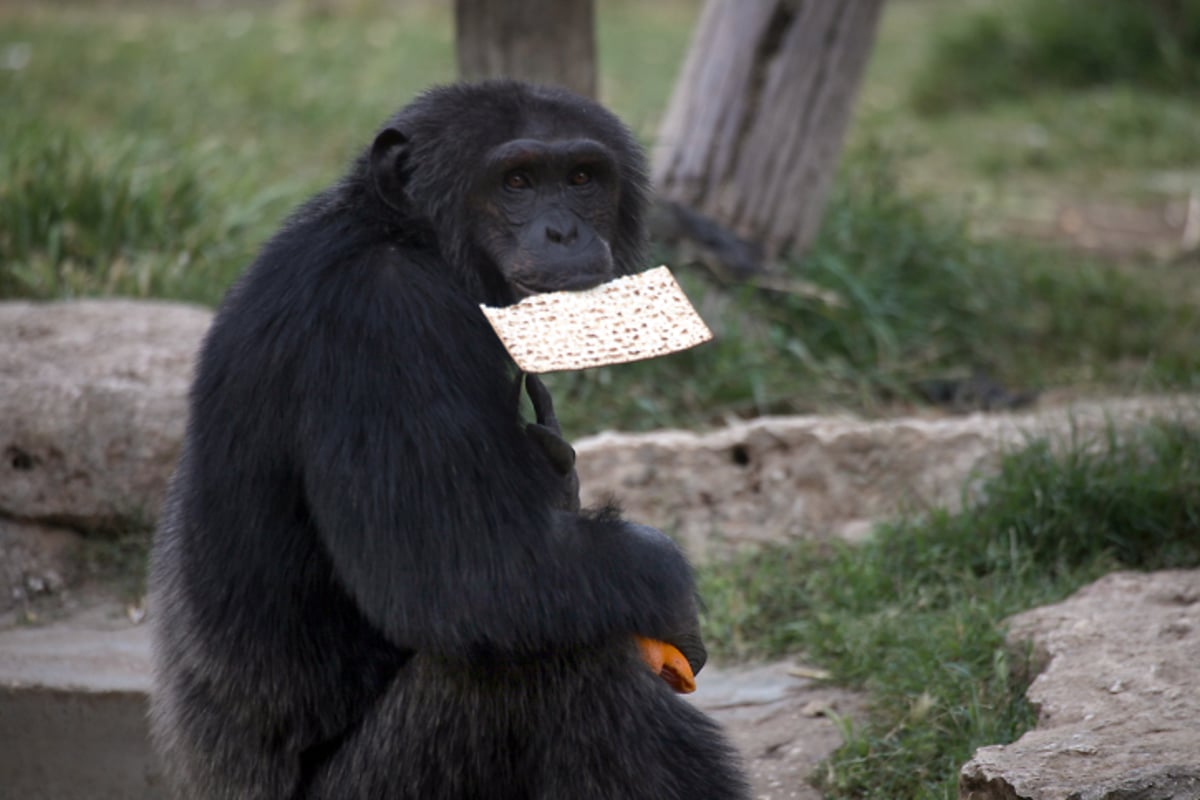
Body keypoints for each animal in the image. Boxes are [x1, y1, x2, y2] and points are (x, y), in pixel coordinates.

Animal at [148, 81, 744, 800]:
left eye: (581, 178)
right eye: (516, 181)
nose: (563, 230)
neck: (409, 240)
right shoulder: (385, 325)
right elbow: (464, 573)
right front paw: (670, 586)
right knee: (549, 659)